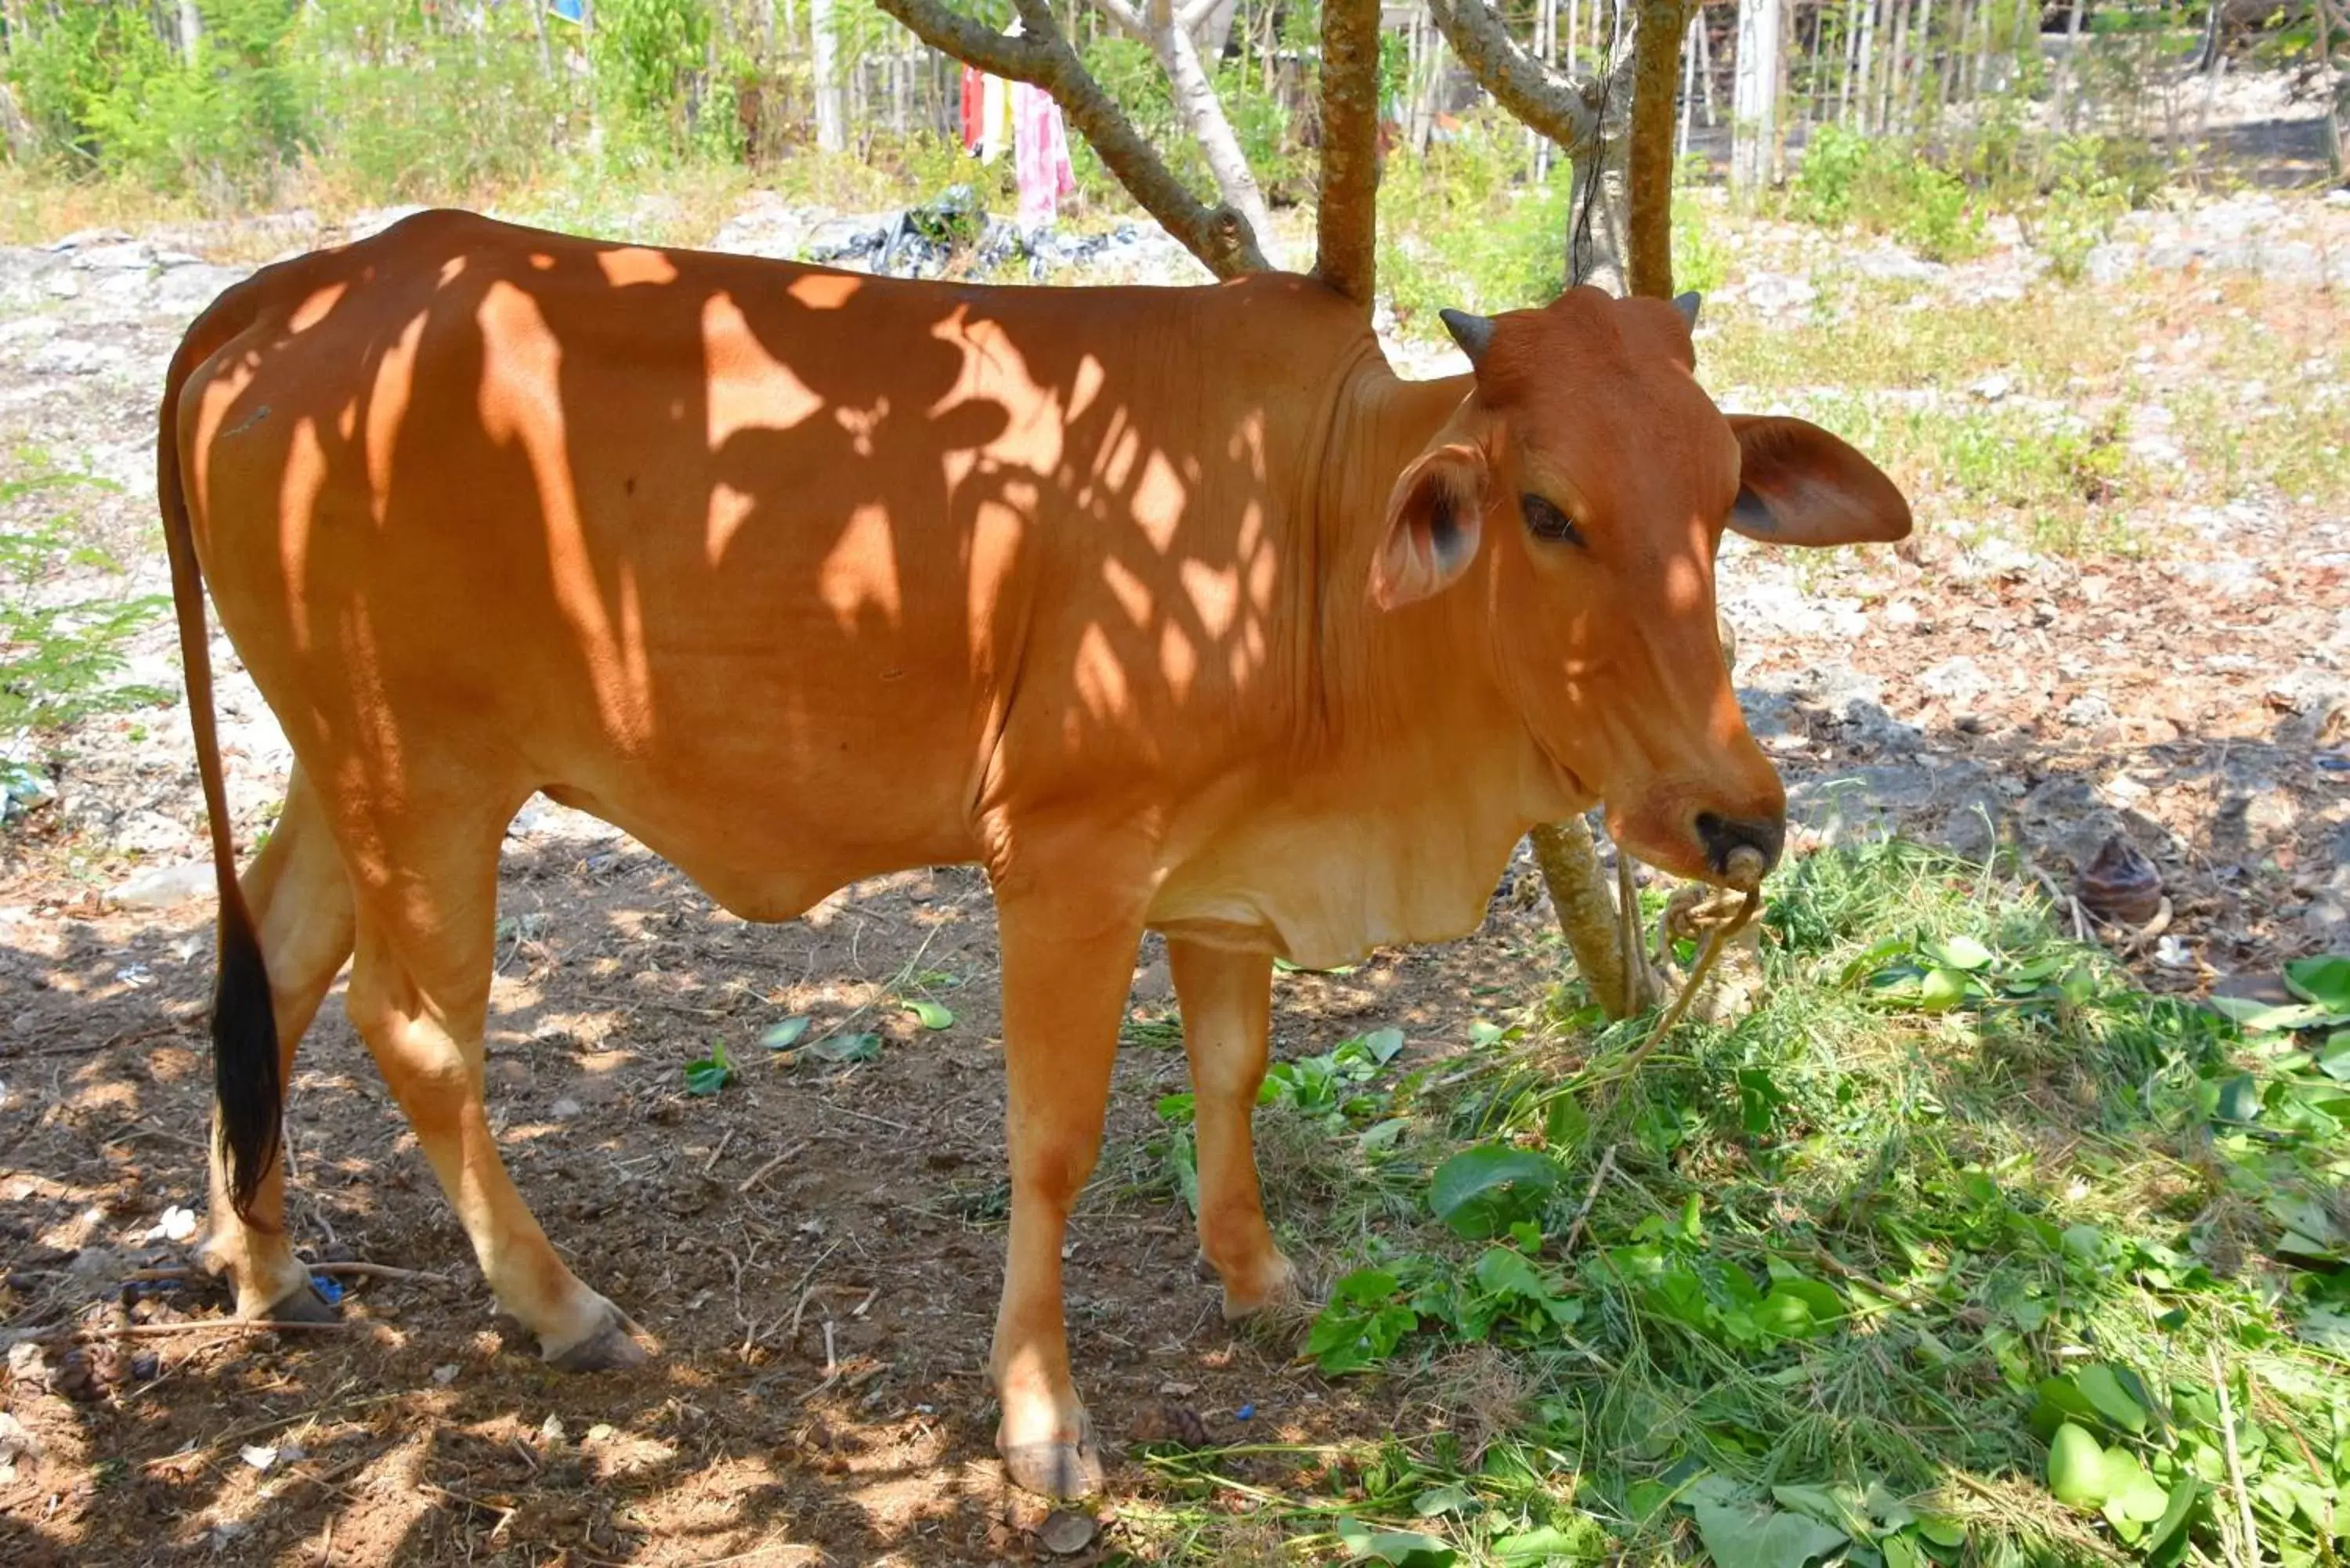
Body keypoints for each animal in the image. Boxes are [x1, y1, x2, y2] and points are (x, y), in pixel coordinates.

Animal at [161, 208, 1889, 1494]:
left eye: (1723, 500)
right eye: (1545, 508)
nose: (1735, 814)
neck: (1315, 536)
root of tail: (301, 285)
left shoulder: (1221, 877)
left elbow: (1232, 1072)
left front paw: (1258, 1278)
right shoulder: (1065, 858)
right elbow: (1054, 1139)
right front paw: (1043, 1420)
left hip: (346, 759)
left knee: (271, 959)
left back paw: (263, 1261)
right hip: (427, 774)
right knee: (412, 1024)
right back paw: (558, 1301)